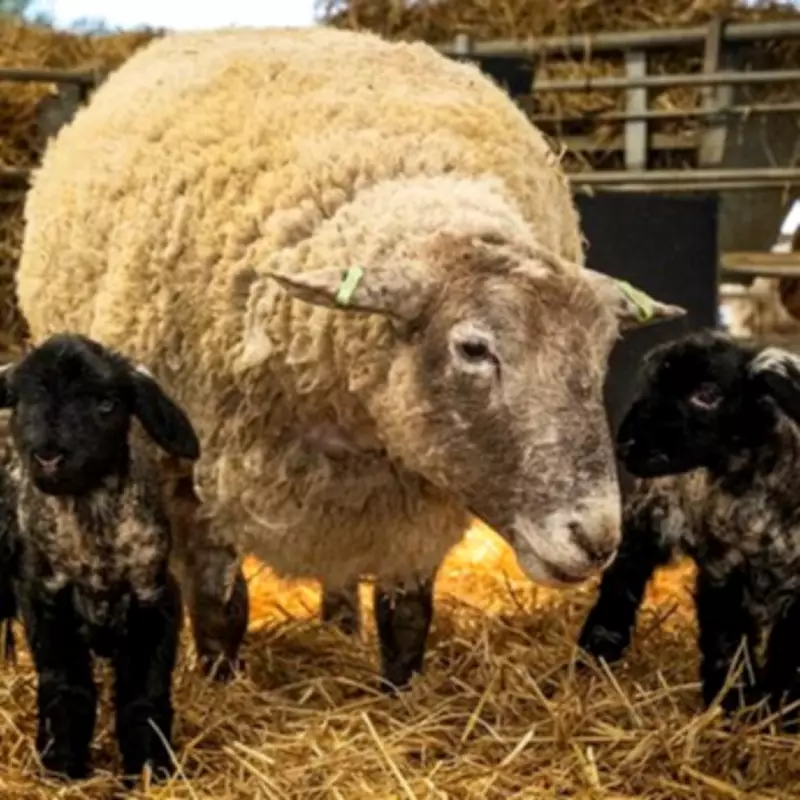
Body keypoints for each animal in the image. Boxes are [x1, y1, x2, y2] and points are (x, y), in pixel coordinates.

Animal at [0, 333, 200, 781]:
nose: (48, 456)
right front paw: (62, 767)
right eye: (21, 402)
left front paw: (150, 768)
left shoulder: (154, 601)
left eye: (106, 404)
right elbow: (66, 688)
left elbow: (143, 696)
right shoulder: (45, 601)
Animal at [17, 25, 685, 690]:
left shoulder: (414, 504)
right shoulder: (191, 474)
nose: (597, 537)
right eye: (473, 348)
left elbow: (407, 616)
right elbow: (219, 609)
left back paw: (340, 628)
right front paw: (219, 685)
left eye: (601, 354)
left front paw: (399, 694)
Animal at [578, 330, 800, 727]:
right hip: (649, 515)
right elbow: (725, 642)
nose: (627, 443)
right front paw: (733, 705)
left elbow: (788, 654)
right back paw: (598, 648)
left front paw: (781, 710)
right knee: (623, 578)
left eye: (707, 394)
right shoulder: (722, 567)